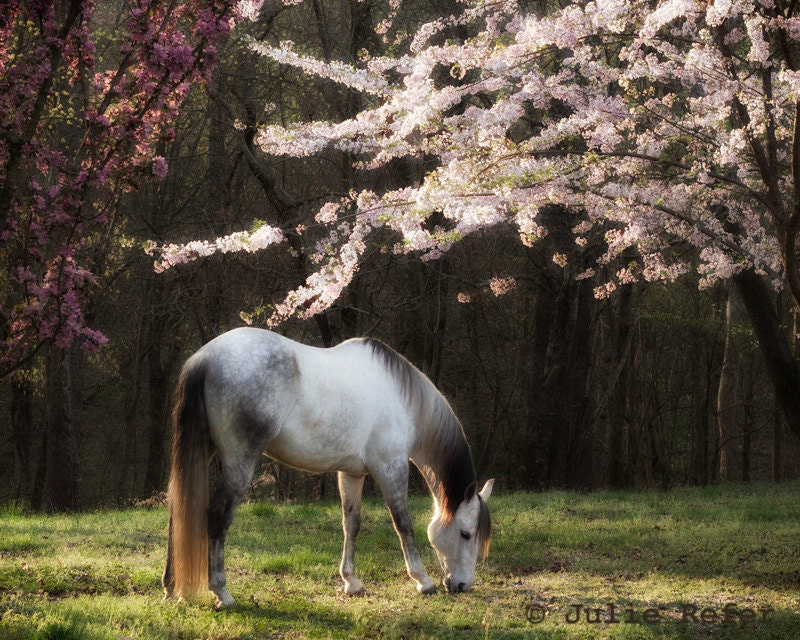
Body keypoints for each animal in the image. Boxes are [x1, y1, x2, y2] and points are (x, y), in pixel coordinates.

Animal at [162, 327, 494, 609]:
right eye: (466, 534)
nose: (462, 585)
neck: (404, 400)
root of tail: (206, 357)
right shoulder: (391, 467)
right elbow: (403, 523)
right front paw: (423, 581)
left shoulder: (352, 473)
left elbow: (352, 524)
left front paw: (352, 582)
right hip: (238, 461)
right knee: (218, 515)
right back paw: (222, 593)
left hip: (203, 452)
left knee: (178, 507)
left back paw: (169, 587)